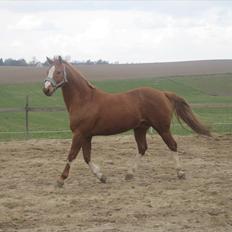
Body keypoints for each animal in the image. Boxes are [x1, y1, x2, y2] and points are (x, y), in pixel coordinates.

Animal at [42, 56, 211, 187]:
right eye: (47, 71)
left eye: (58, 72)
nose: (46, 90)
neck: (85, 100)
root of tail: (163, 93)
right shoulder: (86, 135)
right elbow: (86, 157)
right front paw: (102, 177)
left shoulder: (79, 134)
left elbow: (72, 155)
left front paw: (60, 180)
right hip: (140, 128)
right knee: (142, 148)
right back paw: (129, 174)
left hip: (162, 128)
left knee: (172, 145)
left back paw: (180, 173)